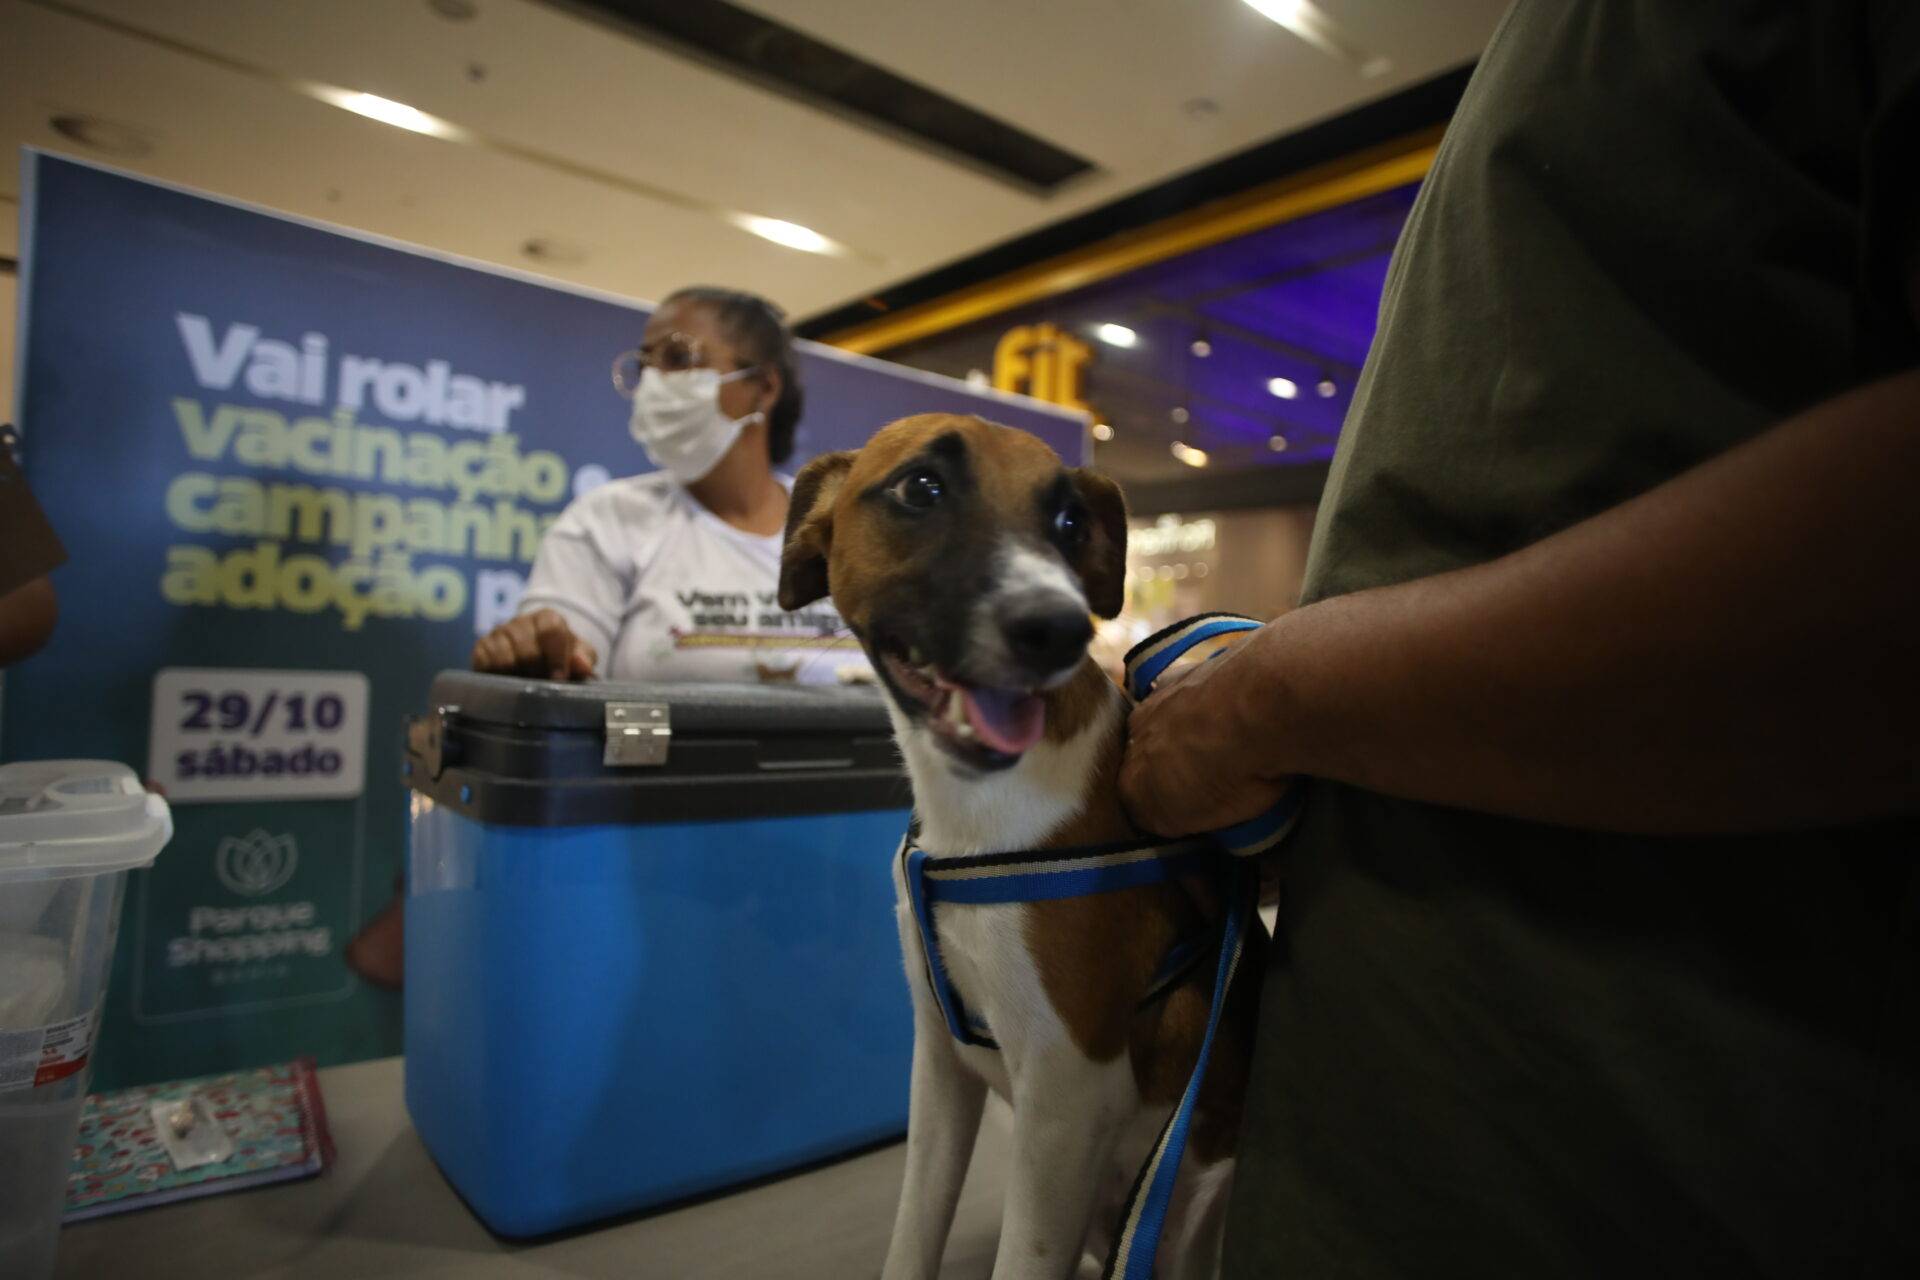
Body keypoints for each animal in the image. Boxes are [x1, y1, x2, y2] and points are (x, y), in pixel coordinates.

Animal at [779, 416, 1259, 1274]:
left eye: (1070, 522)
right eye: (921, 487)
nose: (1058, 629)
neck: (975, 818)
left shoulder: (1064, 1102)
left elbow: (1019, 1256)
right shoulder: (939, 1067)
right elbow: (913, 1234)